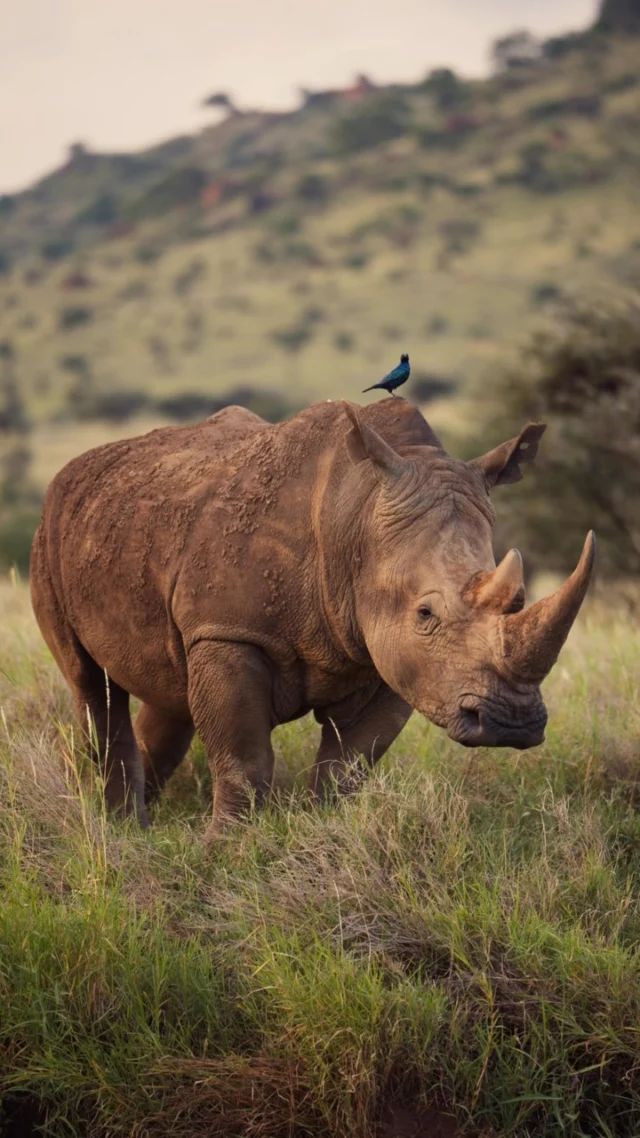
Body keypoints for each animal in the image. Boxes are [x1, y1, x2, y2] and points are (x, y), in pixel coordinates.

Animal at [30, 400, 595, 839]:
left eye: (520, 600)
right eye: (426, 613)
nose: (511, 723)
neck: (357, 517)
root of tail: (72, 473)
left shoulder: (391, 660)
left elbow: (348, 766)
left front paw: (322, 834)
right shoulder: (230, 632)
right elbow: (243, 757)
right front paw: (228, 849)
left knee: (170, 689)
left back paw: (139, 823)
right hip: (51, 533)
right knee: (90, 683)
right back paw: (123, 829)